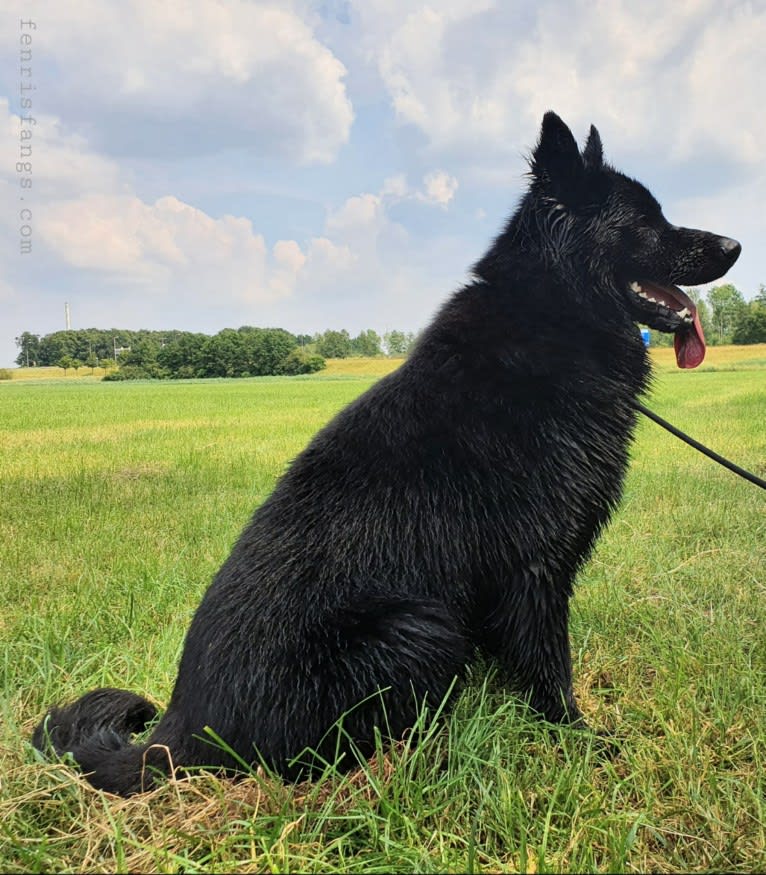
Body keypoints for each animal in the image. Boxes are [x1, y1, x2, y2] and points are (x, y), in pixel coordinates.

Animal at [33, 113, 740, 796]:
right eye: (645, 222)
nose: (735, 246)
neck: (552, 315)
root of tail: (179, 734)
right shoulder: (533, 568)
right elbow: (549, 667)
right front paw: (578, 738)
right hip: (419, 628)